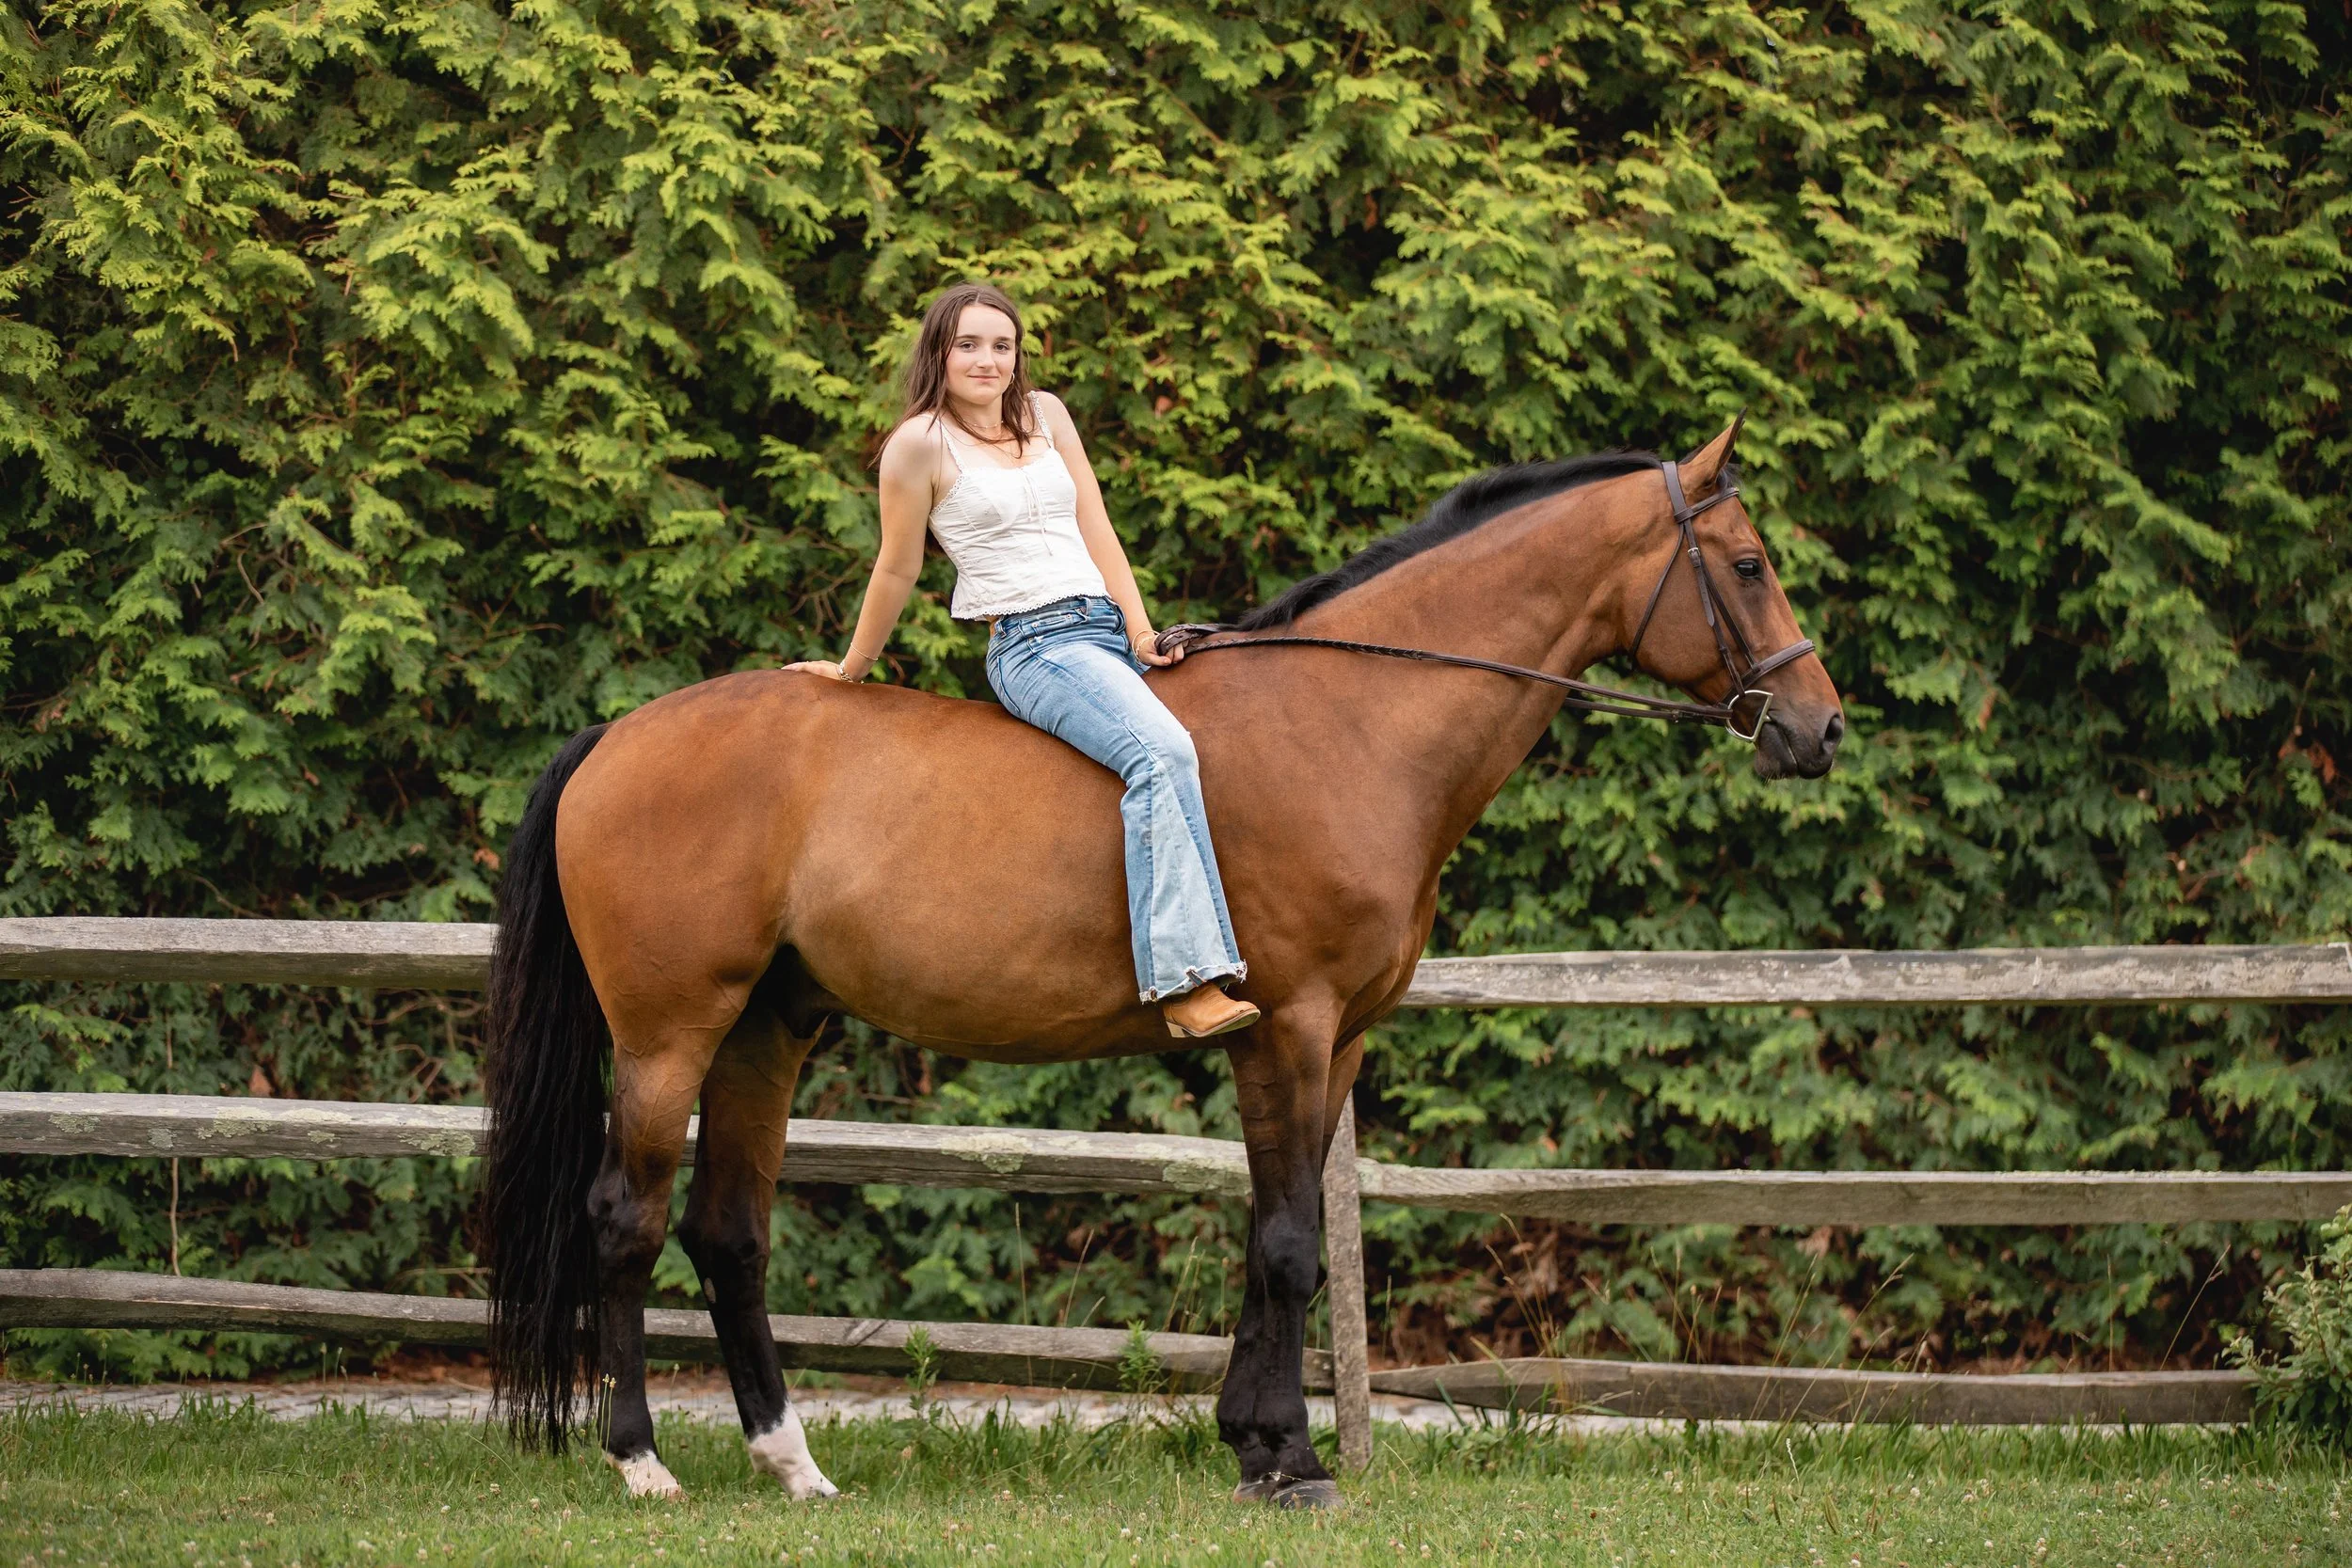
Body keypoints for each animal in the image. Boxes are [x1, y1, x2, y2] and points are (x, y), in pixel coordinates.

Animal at [478, 421, 1844, 1507]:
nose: (1819, 726)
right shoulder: (1289, 1023)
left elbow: (1270, 1234)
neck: (1348, 725)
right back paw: (641, 1458)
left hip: (768, 1028)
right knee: (625, 1219)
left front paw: (1253, 1441)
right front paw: (1293, 1460)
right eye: (1748, 564)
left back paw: (791, 1460)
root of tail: (616, 736)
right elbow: (1289, 1241)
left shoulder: (1332, 1038)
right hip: (668, 1034)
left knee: (730, 1235)